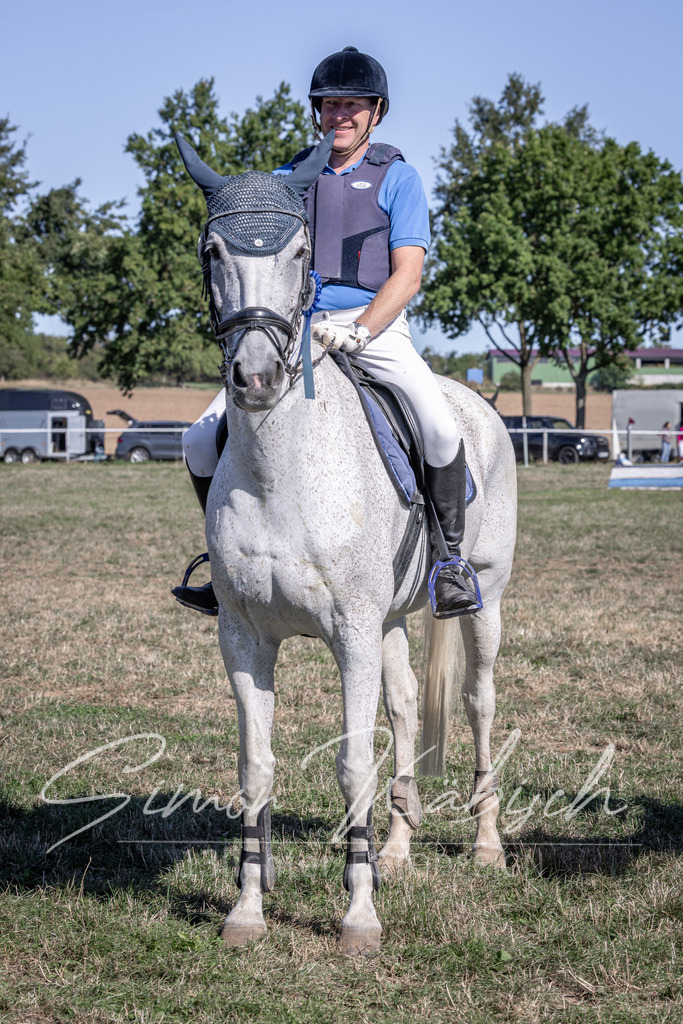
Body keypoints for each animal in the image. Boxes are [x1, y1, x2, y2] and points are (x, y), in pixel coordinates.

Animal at [175, 132, 517, 953]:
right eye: (211, 251)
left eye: (301, 251)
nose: (257, 377)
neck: (283, 468)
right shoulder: (244, 638)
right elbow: (256, 765)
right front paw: (248, 908)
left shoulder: (352, 634)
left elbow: (352, 763)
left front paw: (359, 918)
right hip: (391, 621)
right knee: (405, 707)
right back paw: (395, 848)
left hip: (485, 600)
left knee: (478, 702)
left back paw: (486, 844)